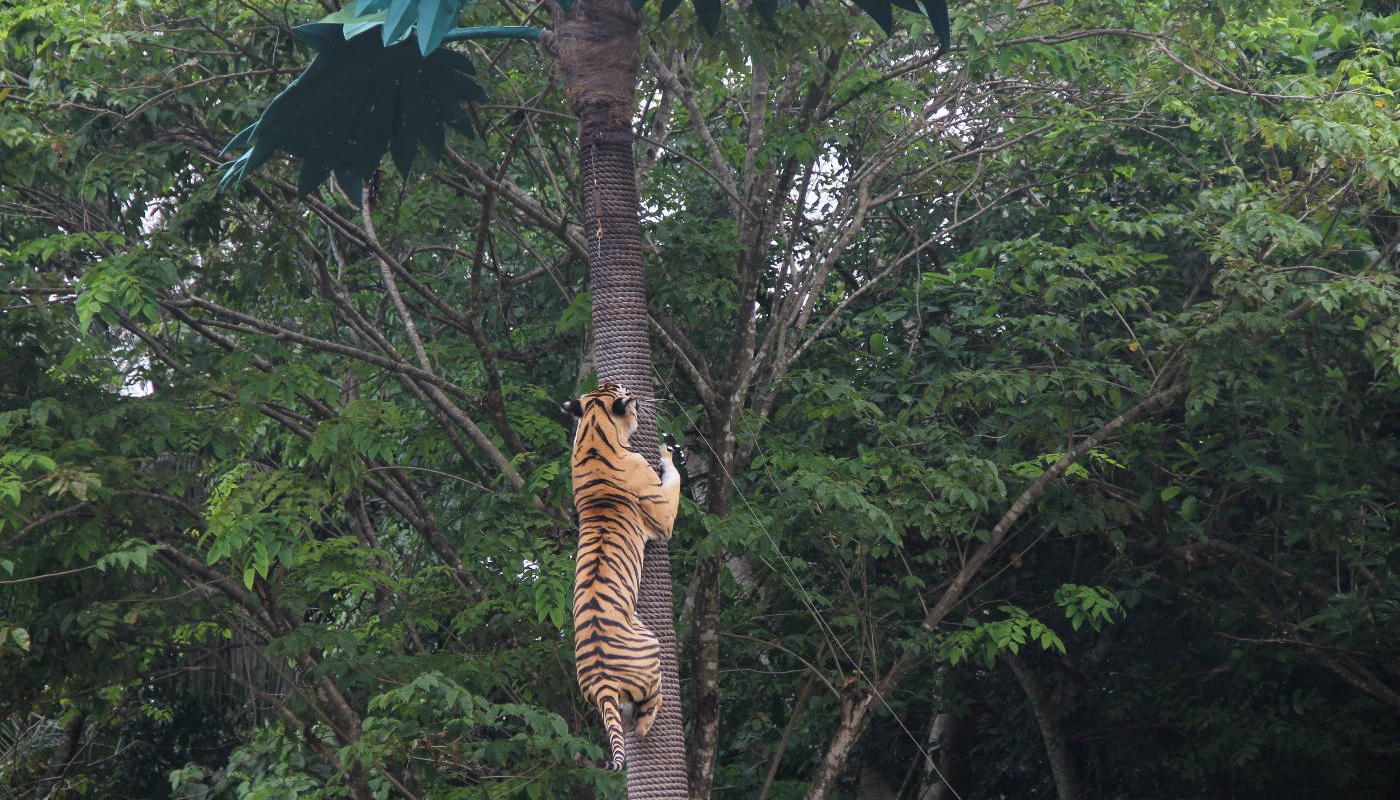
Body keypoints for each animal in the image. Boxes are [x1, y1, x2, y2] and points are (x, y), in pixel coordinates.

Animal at [561, 383, 681, 771]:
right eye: (626, 392)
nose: (639, 399)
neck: (593, 435)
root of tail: (601, 683)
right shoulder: (662, 516)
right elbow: (674, 481)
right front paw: (668, 451)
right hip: (651, 648)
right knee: (645, 716)